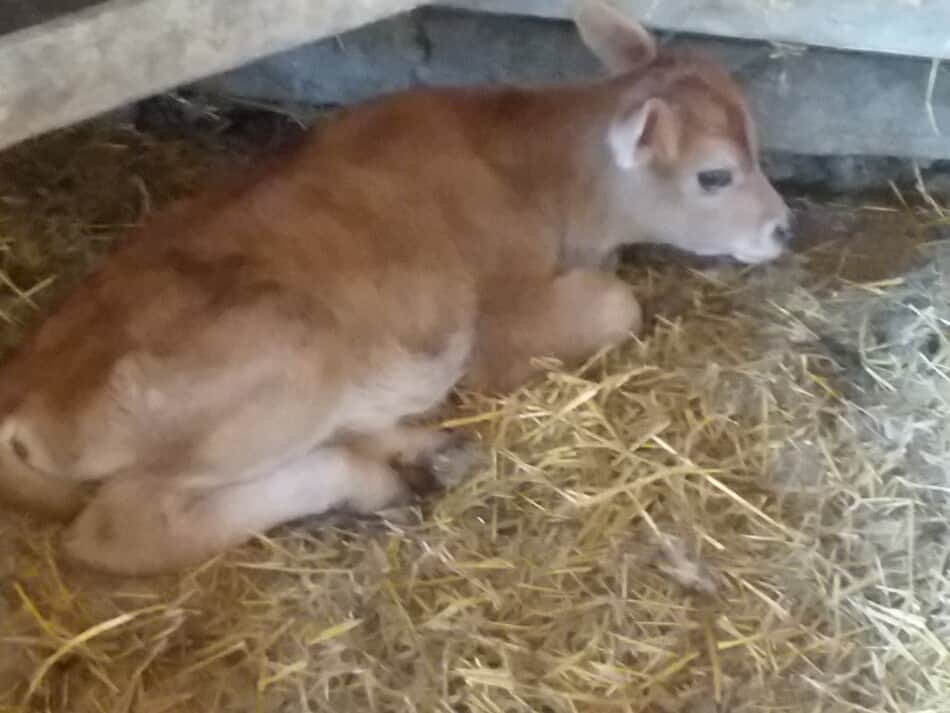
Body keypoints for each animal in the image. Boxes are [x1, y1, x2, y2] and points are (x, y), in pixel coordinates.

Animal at [0, 0, 792, 572]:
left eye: (758, 140)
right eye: (714, 175)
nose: (784, 228)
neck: (544, 174)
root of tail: (27, 388)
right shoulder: (501, 329)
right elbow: (614, 302)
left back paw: (421, 454)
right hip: (284, 367)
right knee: (122, 526)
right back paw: (363, 478)